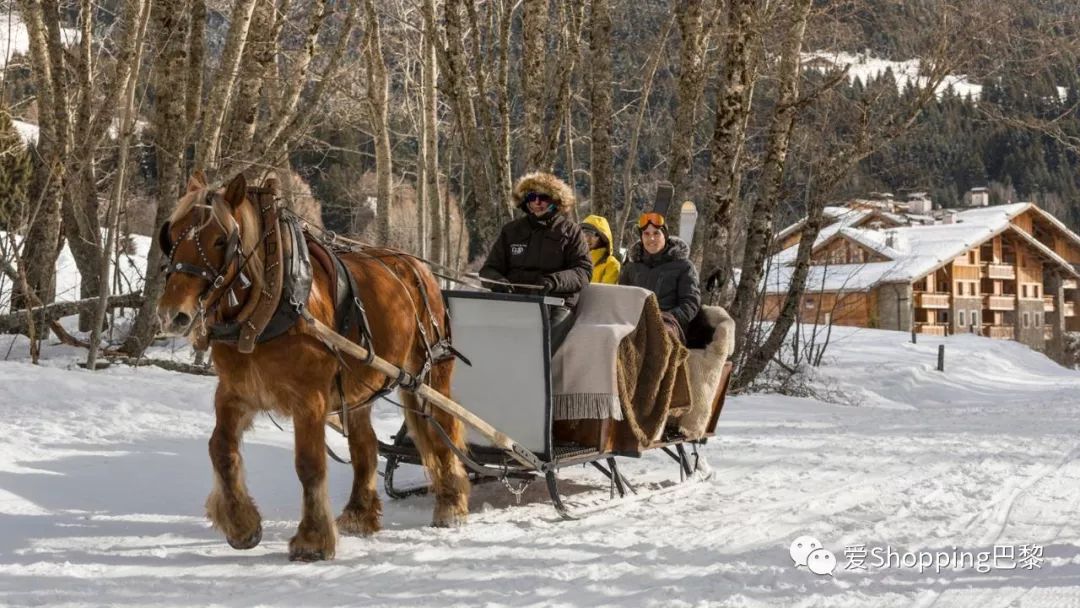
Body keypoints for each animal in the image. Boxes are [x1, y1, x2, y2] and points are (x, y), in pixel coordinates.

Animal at [155, 171, 468, 561]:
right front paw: (241, 524)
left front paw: (312, 541)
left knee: (443, 430)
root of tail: (418, 267)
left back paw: (451, 505)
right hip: (361, 386)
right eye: (171, 233)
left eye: (220, 239)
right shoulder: (234, 393)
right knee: (365, 445)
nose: (172, 315)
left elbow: (309, 465)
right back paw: (359, 515)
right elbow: (221, 449)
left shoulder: (310, 401)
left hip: (431, 375)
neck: (270, 304)